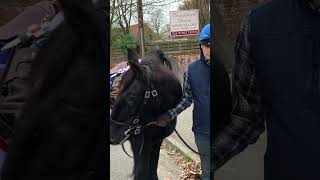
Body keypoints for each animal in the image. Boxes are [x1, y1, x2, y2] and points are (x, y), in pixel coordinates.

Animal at [110, 48, 181, 180]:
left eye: (132, 97)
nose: (111, 136)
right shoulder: (140, 145)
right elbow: (142, 173)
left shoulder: (156, 142)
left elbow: (152, 171)